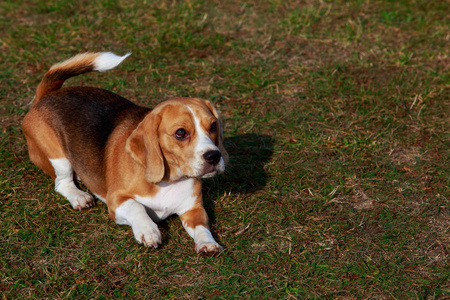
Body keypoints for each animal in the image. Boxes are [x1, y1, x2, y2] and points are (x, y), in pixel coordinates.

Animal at [23, 52, 229, 255]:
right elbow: (136, 207)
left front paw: (208, 243)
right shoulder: (116, 200)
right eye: (180, 133)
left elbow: (202, 227)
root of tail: (47, 96)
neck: (169, 181)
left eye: (213, 126)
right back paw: (79, 196)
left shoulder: (194, 209)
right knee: (61, 183)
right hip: (58, 158)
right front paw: (148, 230)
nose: (214, 156)